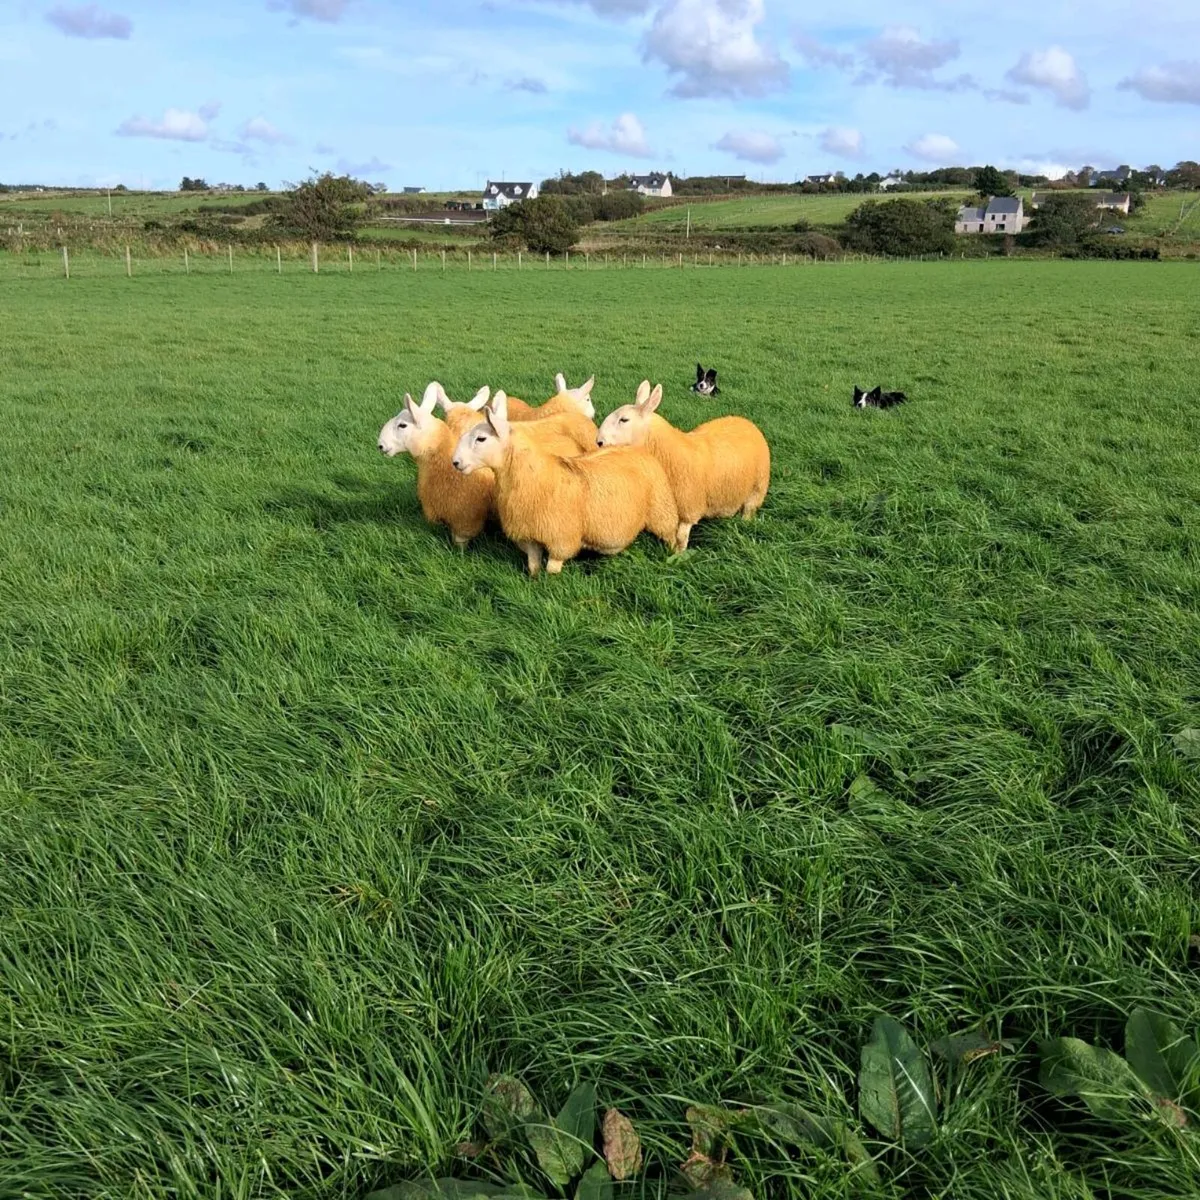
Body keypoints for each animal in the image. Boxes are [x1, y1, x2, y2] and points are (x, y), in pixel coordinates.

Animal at [451, 391, 680, 576]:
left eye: (481, 439)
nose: (455, 462)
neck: (535, 477)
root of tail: (634, 447)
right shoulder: (530, 537)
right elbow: (533, 567)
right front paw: (535, 582)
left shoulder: (560, 539)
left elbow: (552, 570)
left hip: (662, 510)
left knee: (671, 535)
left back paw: (674, 554)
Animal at [595, 381, 770, 551]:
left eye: (624, 420)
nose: (599, 442)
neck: (670, 454)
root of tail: (746, 421)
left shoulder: (689, 509)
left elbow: (680, 538)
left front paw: (678, 554)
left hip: (757, 488)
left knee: (749, 509)